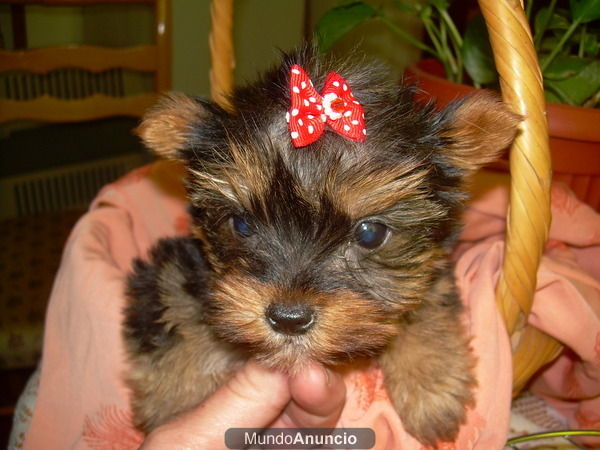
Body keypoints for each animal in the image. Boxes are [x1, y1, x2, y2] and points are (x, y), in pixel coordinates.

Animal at [123, 46, 520, 446]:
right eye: (241, 224)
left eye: (370, 233)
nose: (289, 319)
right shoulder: (180, 261)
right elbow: (174, 300)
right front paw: (175, 399)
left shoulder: (433, 264)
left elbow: (427, 299)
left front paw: (430, 383)